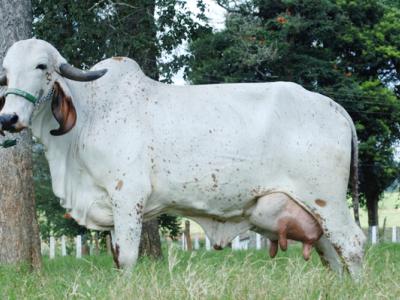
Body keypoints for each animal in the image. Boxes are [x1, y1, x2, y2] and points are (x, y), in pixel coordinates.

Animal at [0, 39, 366, 276]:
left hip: (328, 201)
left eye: (41, 66)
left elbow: (127, 258)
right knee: (331, 253)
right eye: (5, 72)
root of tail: (333, 107)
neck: (90, 115)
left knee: (353, 244)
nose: (8, 118)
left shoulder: (127, 196)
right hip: (313, 211)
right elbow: (117, 257)